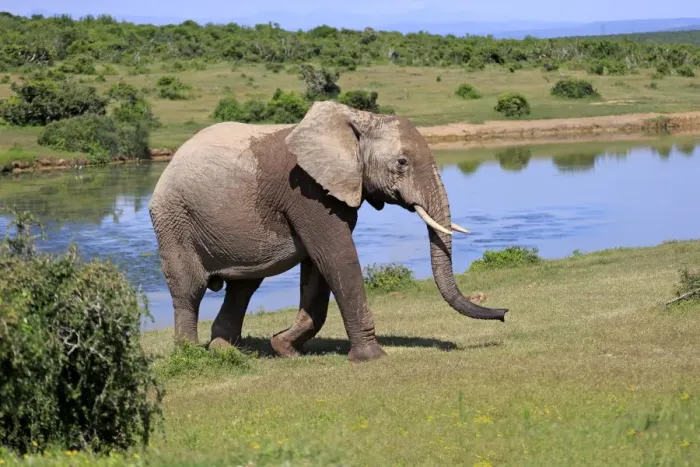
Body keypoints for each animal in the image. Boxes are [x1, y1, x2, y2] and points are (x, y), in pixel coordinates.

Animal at [148, 101, 508, 363]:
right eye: (402, 163)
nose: (504, 313)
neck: (358, 121)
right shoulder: (306, 191)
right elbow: (336, 257)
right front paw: (372, 358)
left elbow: (318, 268)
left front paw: (284, 348)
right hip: (173, 218)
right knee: (189, 288)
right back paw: (191, 354)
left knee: (244, 286)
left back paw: (227, 351)